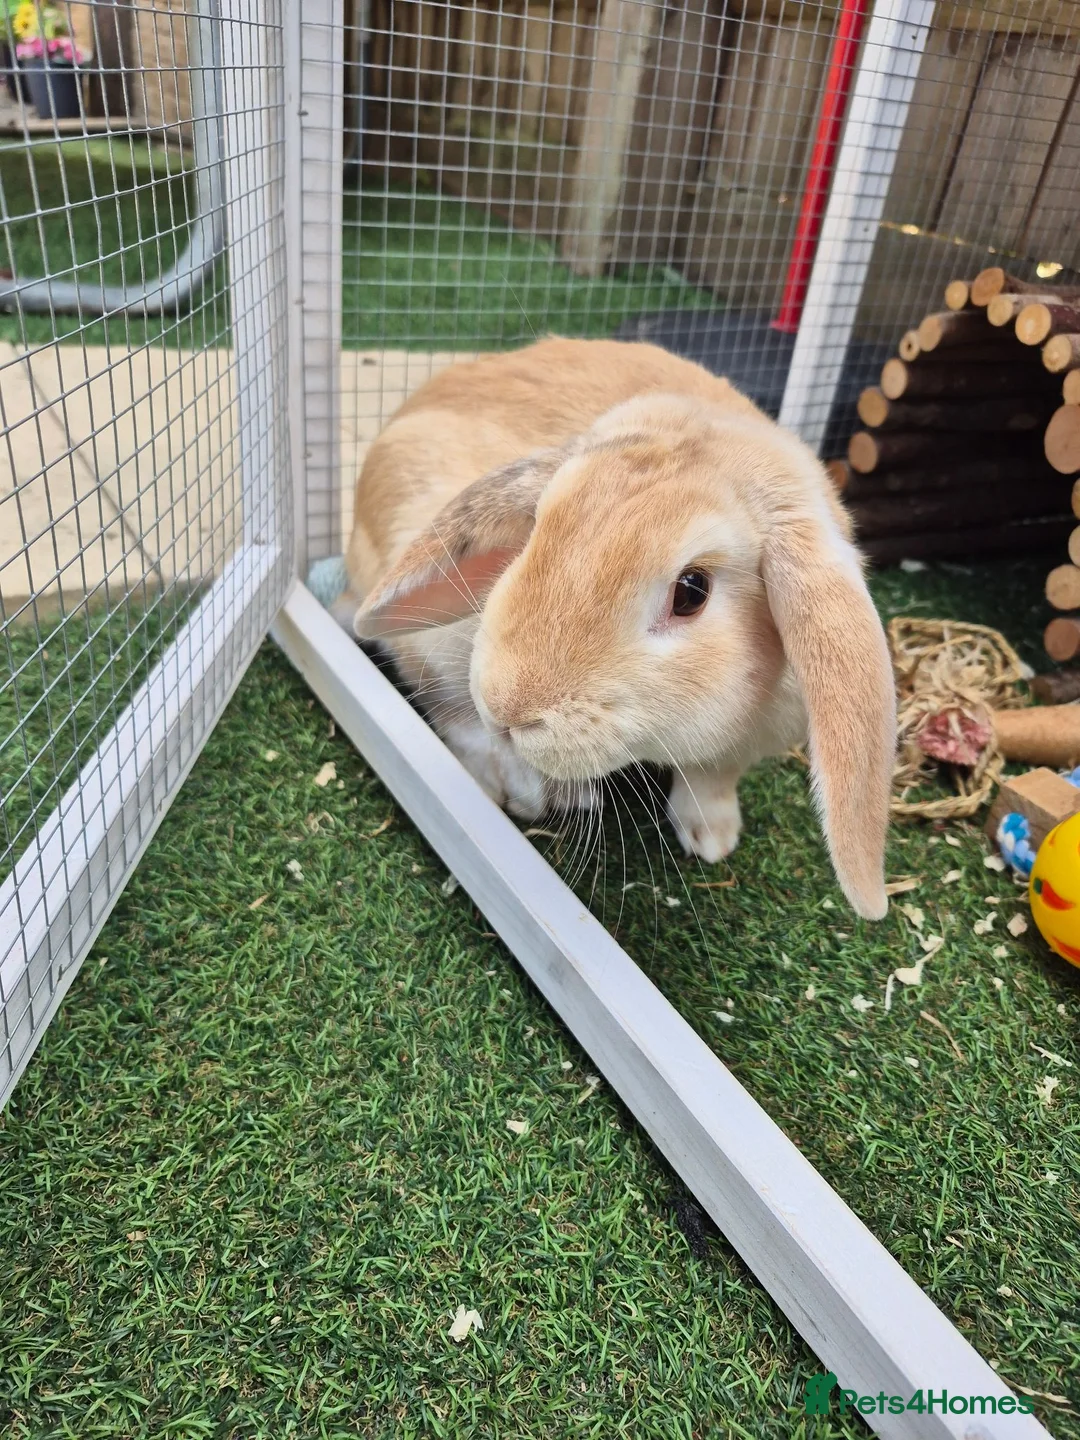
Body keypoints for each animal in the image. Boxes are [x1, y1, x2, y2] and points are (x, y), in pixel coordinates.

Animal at [339, 338, 896, 920]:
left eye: (691, 591)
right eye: (536, 527)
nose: (507, 707)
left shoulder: (740, 749)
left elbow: (712, 781)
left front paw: (714, 840)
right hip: (436, 638)